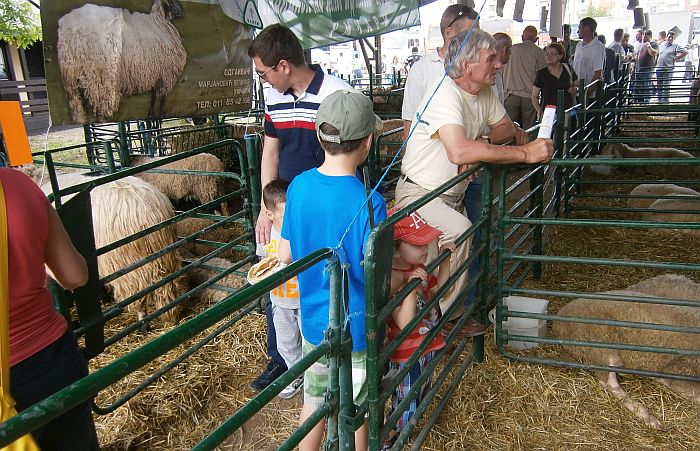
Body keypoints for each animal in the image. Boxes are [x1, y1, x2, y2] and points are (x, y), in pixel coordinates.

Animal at [56, 0, 186, 123]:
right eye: (171, 1)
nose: (181, 12)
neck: (160, 22)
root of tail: (71, 33)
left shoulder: (158, 75)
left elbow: (154, 98)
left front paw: (151, 115)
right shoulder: (167, 75)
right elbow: (162, 100)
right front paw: (160, 115)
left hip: (71, 81)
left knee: (77, 108)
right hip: (102, 77)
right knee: (103, 109)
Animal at [91, 177, 187, 328]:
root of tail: (149, 212)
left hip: (129, 267)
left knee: (138, 297)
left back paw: (143, 324)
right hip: (165, 257)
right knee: (166, 287)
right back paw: (171, 318)